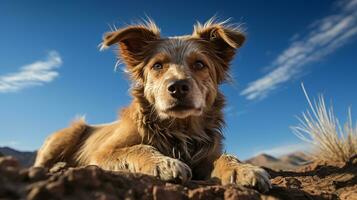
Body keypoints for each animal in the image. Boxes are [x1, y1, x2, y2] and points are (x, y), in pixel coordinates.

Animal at [34, 18, 272, 192]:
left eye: (199, 64)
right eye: (157, 65)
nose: (177, 87)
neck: (178, 129)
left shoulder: (205, 156)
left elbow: (225, 156)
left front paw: (243, 169)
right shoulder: (103, 152)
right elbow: (139, 148)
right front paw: (165, 164)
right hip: (69, 133)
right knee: (40, 164)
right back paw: (58, 166)